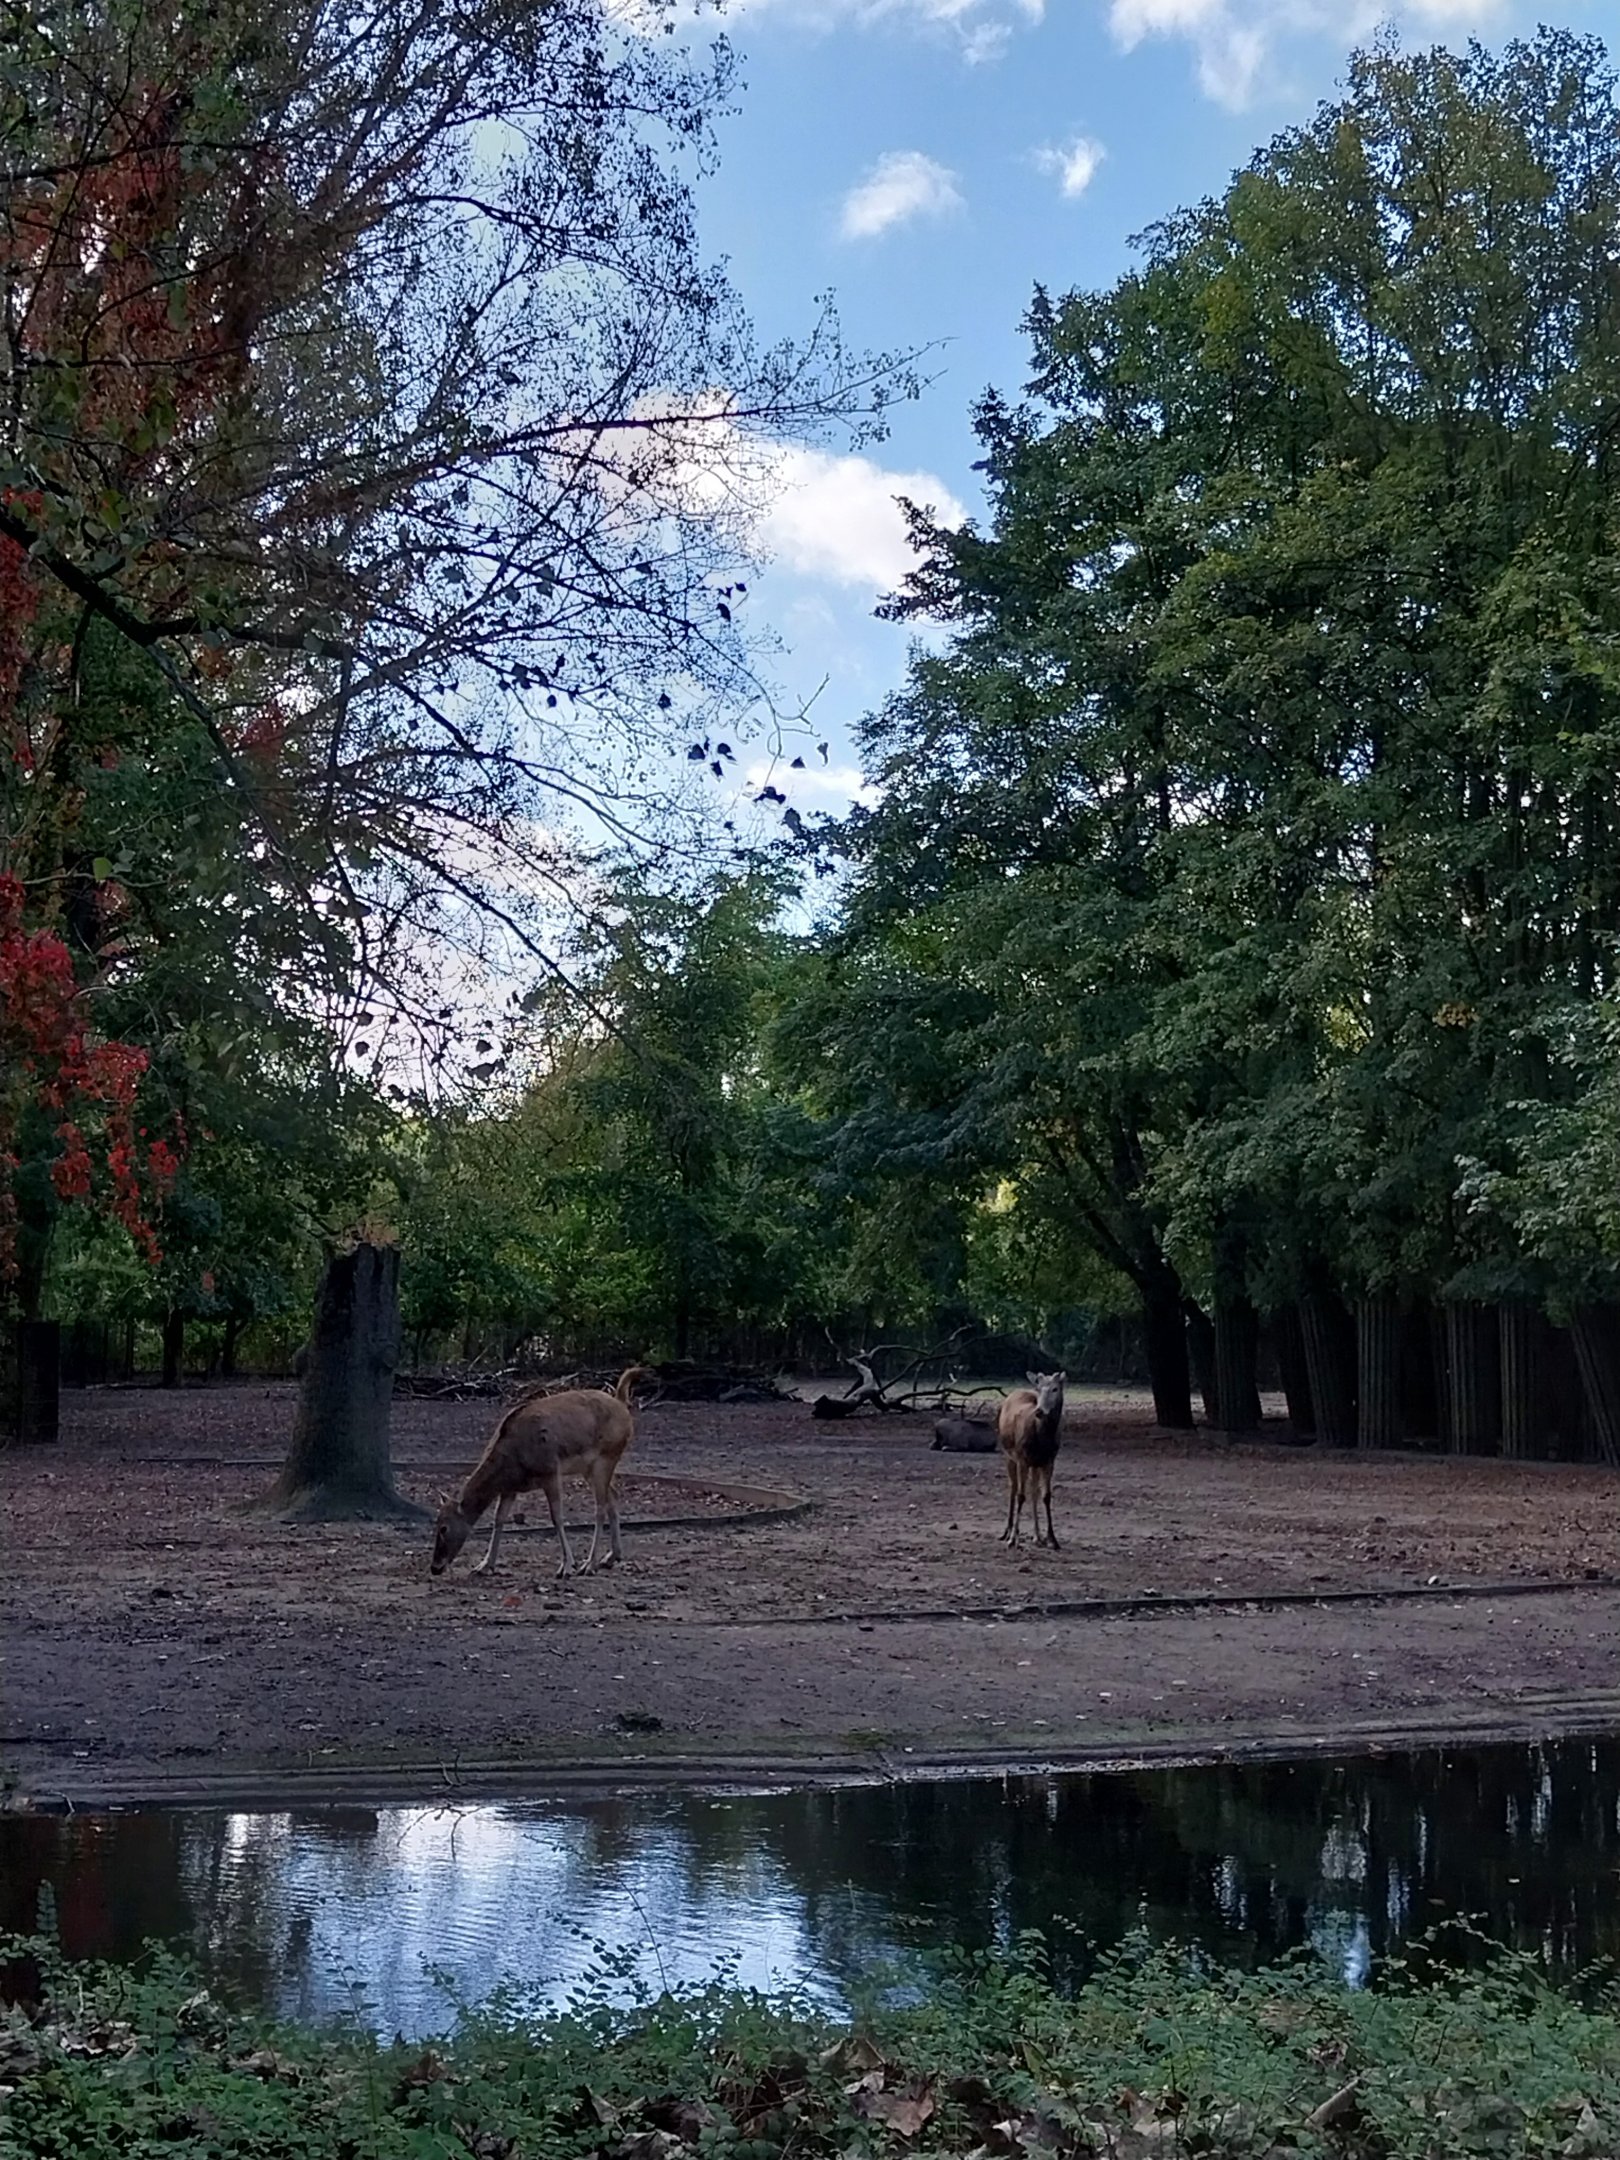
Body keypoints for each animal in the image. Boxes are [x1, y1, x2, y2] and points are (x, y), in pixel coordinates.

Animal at [429, 1366, 657, 1581]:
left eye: (444, 1528)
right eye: (436, 1524)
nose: (435, 1568)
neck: (512, 1463)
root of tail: (622, 1405)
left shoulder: (550, 1472)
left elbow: (557, 1517)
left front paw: (566, 1566)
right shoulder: (510, 1488)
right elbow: (499, 1518)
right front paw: (484, 1565)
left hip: (606, 1457)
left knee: (599, 1507)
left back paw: (589, 1564)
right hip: (589, 1468)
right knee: (613, 1496)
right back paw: (610, 1557)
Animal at [996, 1370, 1066, 1549]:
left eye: (1055, 1388)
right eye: (1038, 1388)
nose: (1039, 1411)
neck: (1042, 1440)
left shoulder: (1050, 1460)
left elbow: (1046, 1495)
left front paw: (1052, 1539)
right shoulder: (1022, 1458)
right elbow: (1021, 1495)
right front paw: (1013, 1539)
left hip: (1034, 1464)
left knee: (1033, 1490)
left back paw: (1037, 1536)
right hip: (1008, 1455)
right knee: (1013, 1488)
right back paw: (1007, 1532)